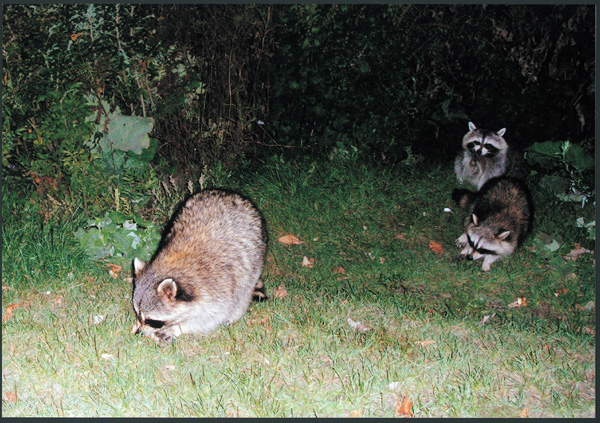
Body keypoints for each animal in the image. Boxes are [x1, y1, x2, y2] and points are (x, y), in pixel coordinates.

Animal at [131, 190, 268, 342]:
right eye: (137, 313)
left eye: (152, 320)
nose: (138, 332)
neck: (174, 263)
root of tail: (230, 193)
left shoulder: (218, 288)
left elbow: (211, 317)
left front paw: (177, 328)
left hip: (256, 256)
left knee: (245, 289)